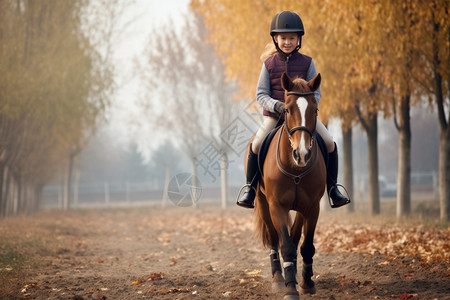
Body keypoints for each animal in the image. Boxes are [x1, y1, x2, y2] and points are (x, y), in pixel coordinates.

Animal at [250, 72, 326, 300]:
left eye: (315, 109)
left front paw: (306, 284)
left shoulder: (311, 207)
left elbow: (305, 245)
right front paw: (290, 288)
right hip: (263, 203)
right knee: (274, 238)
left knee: (294, 237)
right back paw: (278, 278)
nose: (302, 154)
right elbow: (286, 246)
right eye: (287, 109)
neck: (295, 169)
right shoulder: (277, 206)